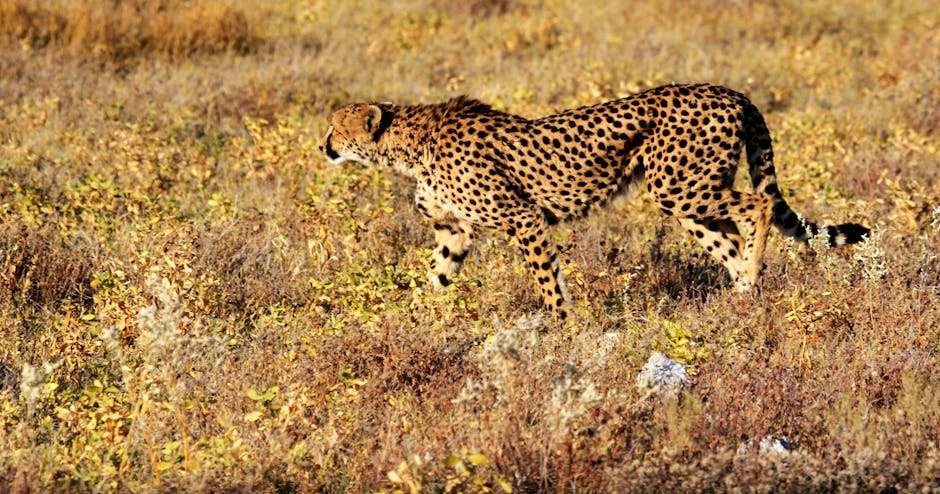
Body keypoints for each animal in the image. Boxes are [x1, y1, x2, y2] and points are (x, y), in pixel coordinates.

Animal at [320, 83, 872, 318]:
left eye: (335, 128)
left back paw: (751, 280)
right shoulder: (453, 230)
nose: (322, 146)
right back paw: (739, 295)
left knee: (757, 208)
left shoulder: (523, 217)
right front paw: (408, 322)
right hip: (683, 197)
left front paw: (565, 330)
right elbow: (436, 277)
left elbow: (548, 283)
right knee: (730, 240)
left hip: (680, 186)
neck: (408, 145)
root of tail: (729, 90)